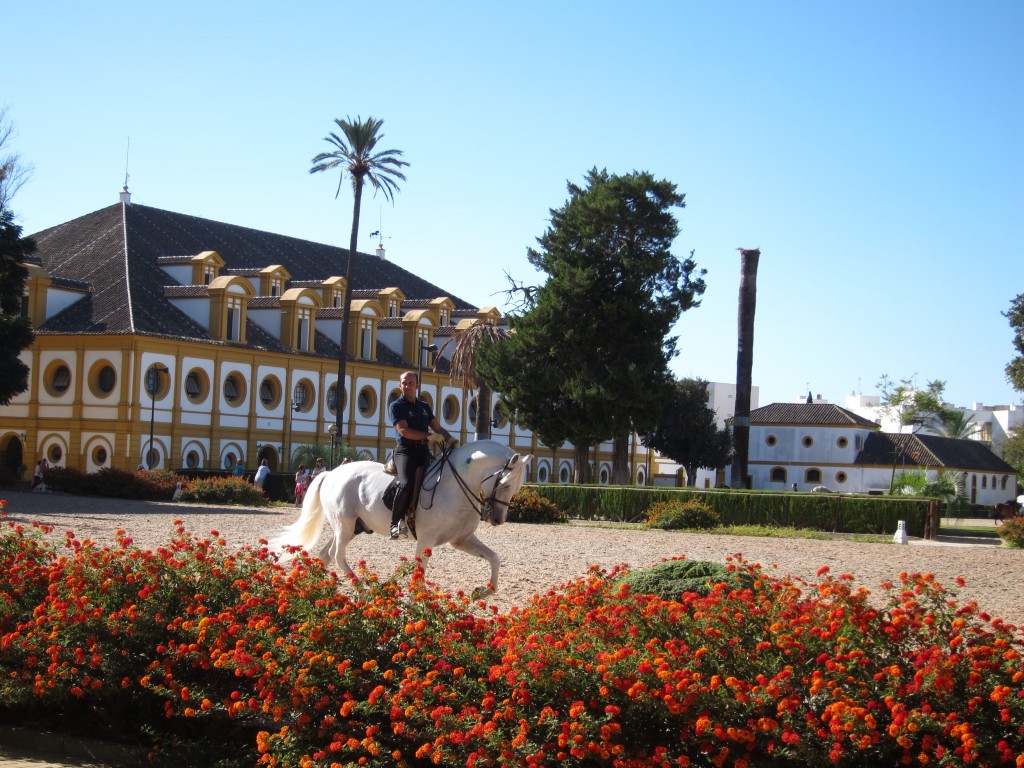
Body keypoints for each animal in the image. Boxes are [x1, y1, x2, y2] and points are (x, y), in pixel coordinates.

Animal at [268, 442, 532, 598]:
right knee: (337, 555)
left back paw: (313, 589)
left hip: (351, 528)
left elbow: (494, 558)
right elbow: (419, 577)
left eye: (517, 488)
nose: (497, 519)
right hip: (344, 525)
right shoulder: (425, 541)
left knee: (326, 554)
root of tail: (331, 473)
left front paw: (482, 591)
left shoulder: (461, 539)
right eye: (505, 484)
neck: (454, 484)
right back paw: (361, 591)